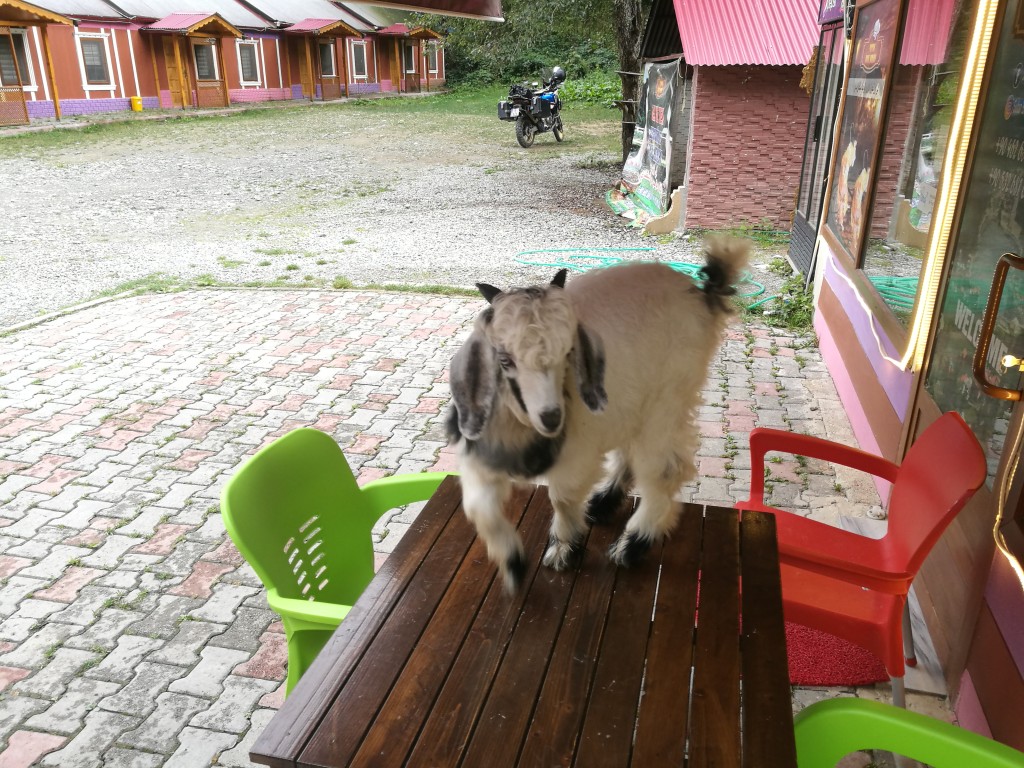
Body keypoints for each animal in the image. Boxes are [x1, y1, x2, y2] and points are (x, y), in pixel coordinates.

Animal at [446, 238, 750, 591]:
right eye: (504, 359)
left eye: (568, 352)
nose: (551, 418)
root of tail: (701, 292)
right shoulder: (480, 453)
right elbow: (478, 507)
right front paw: (513, 566)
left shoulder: (577, 453)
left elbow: (562, 498)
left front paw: (564, 549)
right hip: (635, 401)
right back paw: (603, 502)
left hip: (669, 397)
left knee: (666, 469)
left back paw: (632, 544)